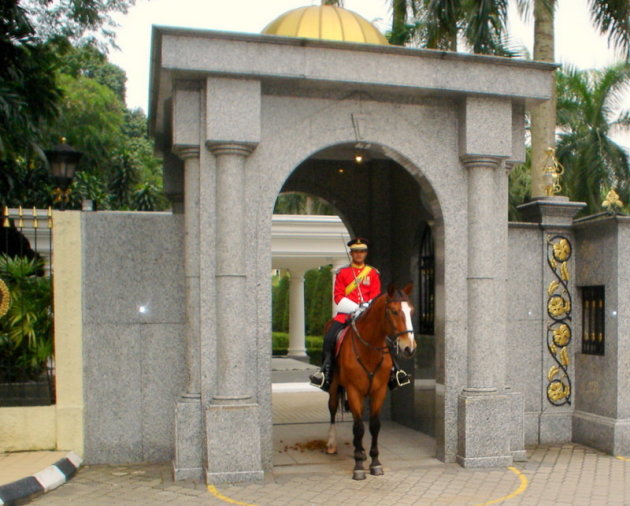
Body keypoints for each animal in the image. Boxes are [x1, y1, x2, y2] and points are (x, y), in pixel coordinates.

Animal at [326, 282, 420, 480]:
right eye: (394, 311)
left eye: (412, 310)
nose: (409, 348)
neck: (369, 348)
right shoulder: (353, 390)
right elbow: (359, 427)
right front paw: (359, 466)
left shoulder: (379, 390)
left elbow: (374, 426)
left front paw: (375, 462)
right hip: (334, 386)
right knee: (332, 409)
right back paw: (331, 444)